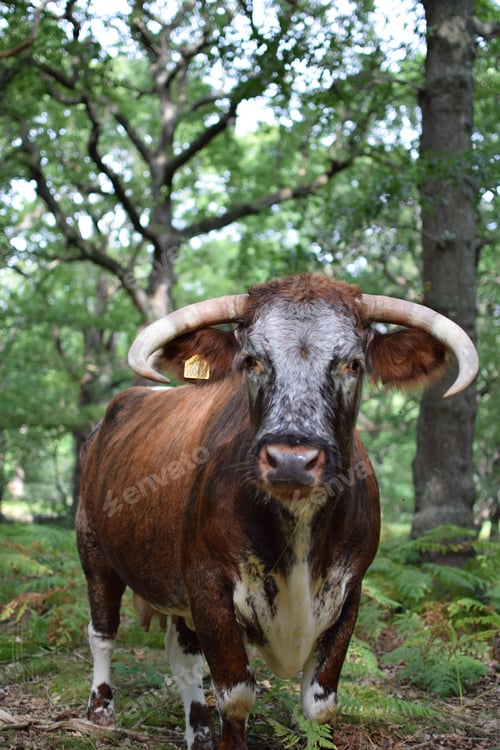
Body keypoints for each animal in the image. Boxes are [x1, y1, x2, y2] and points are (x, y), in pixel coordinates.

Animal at [77, 273, 478, 750]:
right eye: (251, 360)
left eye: (353, 364)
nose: (291, 460)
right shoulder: (209, 586)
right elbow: (236, 695)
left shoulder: (350, 592)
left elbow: (321, 702)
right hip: (95, 551)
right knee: (103, 632)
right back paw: (101, 707)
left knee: (182, 656)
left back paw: (198, 728)